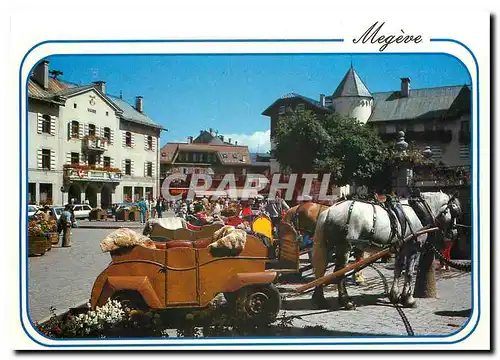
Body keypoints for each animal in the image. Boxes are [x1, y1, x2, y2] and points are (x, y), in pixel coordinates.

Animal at [312, 191, 460, 310]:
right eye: (455, 211)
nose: (454, 233)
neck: (417, 212)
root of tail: (329, 211)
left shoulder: (401, 249)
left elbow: (398, 271)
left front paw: (395, 295)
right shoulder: (413, 250)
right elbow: (409, 273)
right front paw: (408, 299)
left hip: (329, 247)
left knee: (321, 271)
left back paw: (319, 299)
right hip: (344, 247)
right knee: (338, 273)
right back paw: (346, 301)